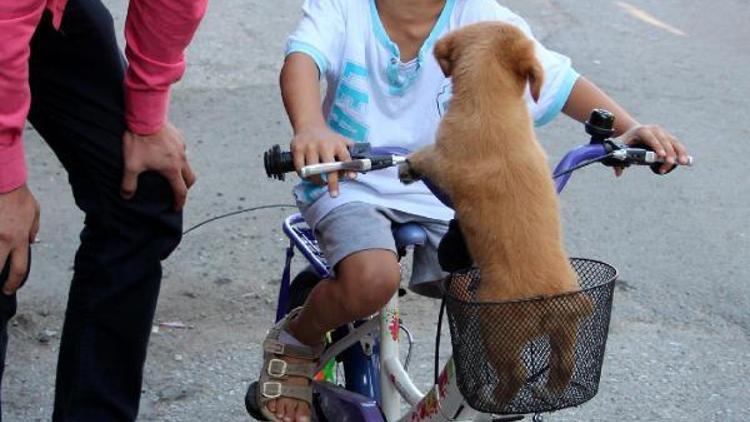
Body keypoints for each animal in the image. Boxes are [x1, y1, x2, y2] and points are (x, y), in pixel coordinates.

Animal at [402, 22, 596, 406]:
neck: (495, 99)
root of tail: (551, 301)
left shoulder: (443, 161)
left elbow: (426, 155)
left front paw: (409, 165)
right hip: (565, 331)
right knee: (563, 364)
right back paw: (549, 389)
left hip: (496, 331)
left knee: (514, 375)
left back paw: (496, 398)